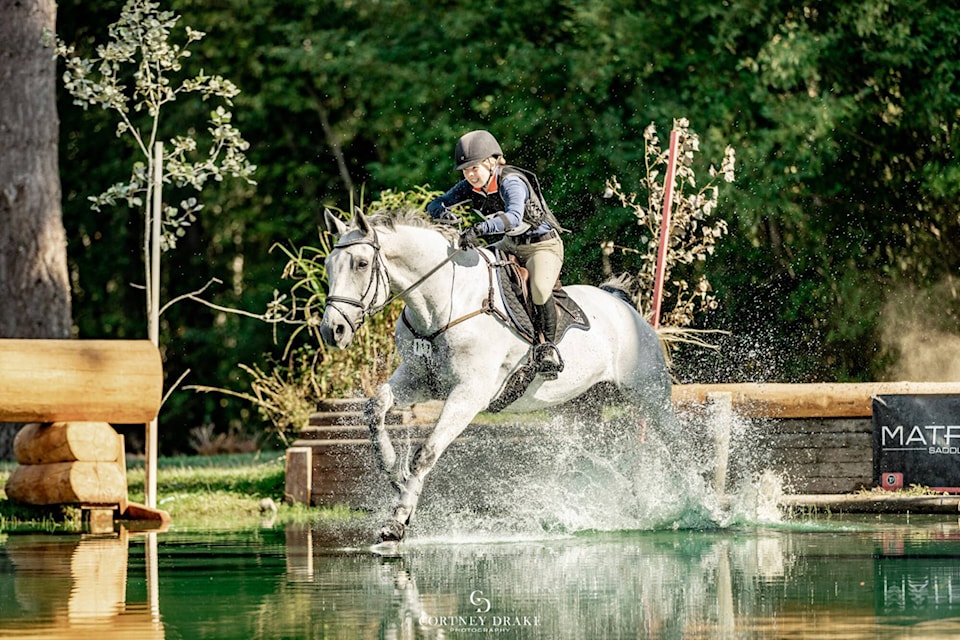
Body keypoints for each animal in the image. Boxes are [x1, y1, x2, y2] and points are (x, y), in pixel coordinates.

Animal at [318, 209, 672, 540]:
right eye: (328, 265)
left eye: (362, 263)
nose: (332, 331)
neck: (442, 304)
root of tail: (623, 306)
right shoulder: (418, 380)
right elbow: (376, 406)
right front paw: (393, 470)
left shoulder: (469, 394)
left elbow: (427, 452)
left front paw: (397, 522)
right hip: (584, 407)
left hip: (651, 395)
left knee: (672, 439)